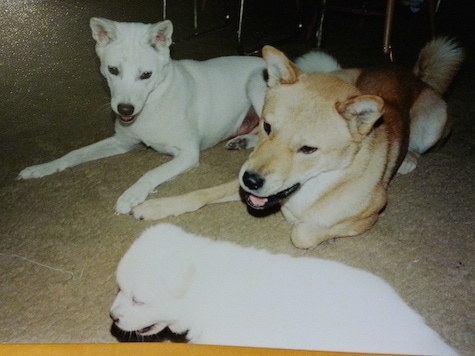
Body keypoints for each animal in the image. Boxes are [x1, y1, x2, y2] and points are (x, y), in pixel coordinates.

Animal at [134, 39, 464, 249]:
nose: (251, 180)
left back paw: (408, 159)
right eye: (267, 126)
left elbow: (303, 233)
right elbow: (201, 193)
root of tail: (415, 75)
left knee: (422, 146)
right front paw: (156, 206)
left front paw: (325, 232)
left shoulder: (373, 211)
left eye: (308, 149)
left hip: (434, 121)